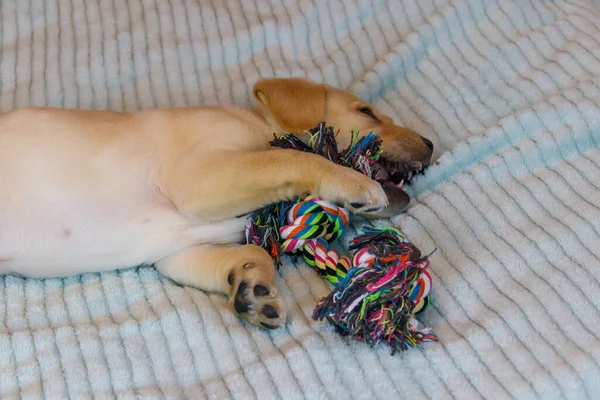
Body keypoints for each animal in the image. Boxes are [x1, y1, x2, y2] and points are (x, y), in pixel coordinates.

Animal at [0, 77, 432, 328]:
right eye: (366, 111)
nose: (430, 144)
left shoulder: (177, 253)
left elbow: (249, 254)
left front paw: (253, 288)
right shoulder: (197, 178)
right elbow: (292, 158)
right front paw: (354, 183)